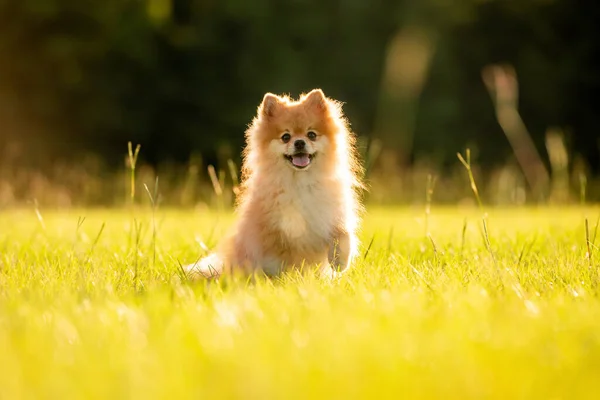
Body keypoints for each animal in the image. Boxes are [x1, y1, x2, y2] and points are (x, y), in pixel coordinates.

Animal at [185, 89, 364, 280]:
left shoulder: (334, 212)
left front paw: (340, 262)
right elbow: (287, 257)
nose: (299, 142)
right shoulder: (279, 230)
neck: (301, 182)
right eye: (286, 137)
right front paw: (291, 277)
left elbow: (343, 234)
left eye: (311, 135)